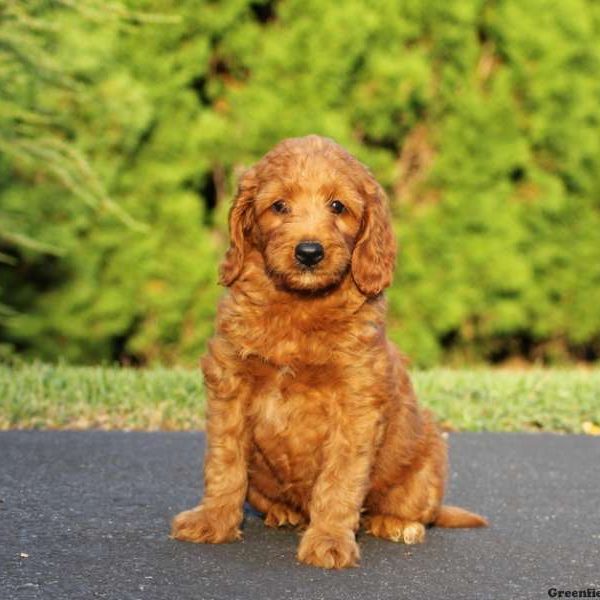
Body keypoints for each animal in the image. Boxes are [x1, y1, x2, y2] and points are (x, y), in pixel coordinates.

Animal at [170, 135, 488, 568]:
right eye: (279, 206)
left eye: (338, 206)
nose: (309, 252)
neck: (299, 307)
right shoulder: (229, 385)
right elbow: (224, 462)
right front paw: (213, 519)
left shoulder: (356, 401)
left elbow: (340, 479)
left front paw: (329, 541)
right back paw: (283, 513)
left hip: (426, 464)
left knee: (413, 509)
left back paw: (397, 525)